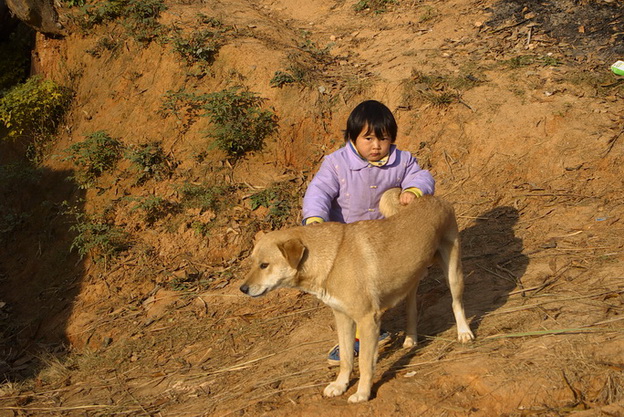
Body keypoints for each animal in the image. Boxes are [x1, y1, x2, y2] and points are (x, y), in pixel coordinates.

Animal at [239, 188, 472, 404]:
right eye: (252, 263)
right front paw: (340, 385)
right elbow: (346, 358)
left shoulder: (367, 320)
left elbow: (365, 365)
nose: (243, 289)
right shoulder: (342, 318)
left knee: (456, 303)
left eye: (264, 265)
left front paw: (362, 393)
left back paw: (464, 333)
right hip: (409, 278)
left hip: (453, 272)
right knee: (412, 308)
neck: (331, 259)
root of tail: (435, 198)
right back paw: (410, 338)